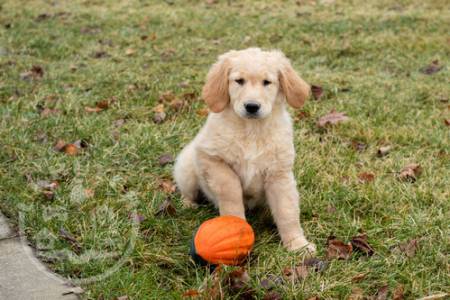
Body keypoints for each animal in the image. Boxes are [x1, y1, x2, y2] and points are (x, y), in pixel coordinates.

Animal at [174, 48, 314, 253]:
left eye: (267, 82)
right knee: (187, 190)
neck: (252, 130)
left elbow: (287, 210)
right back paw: (187, 204)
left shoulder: (279, 174)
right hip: (187, 168)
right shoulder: (211, 158)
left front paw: (298, 244)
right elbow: (230, 190)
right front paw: (235, 229)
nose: (252, 106)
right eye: (239, 81)